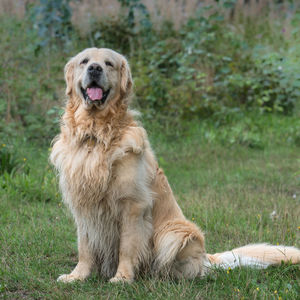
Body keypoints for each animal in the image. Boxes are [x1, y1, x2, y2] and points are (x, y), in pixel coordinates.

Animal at [49, 47, 300, 284]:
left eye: (108, 63)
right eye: (84, 61)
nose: (95, 69)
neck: (95, 134)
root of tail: (206, 257)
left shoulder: (132, 205)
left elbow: (127, 247)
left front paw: (122, 278)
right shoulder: (83, 205)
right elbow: (85, 248)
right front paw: (77, 276)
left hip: (175, 232)